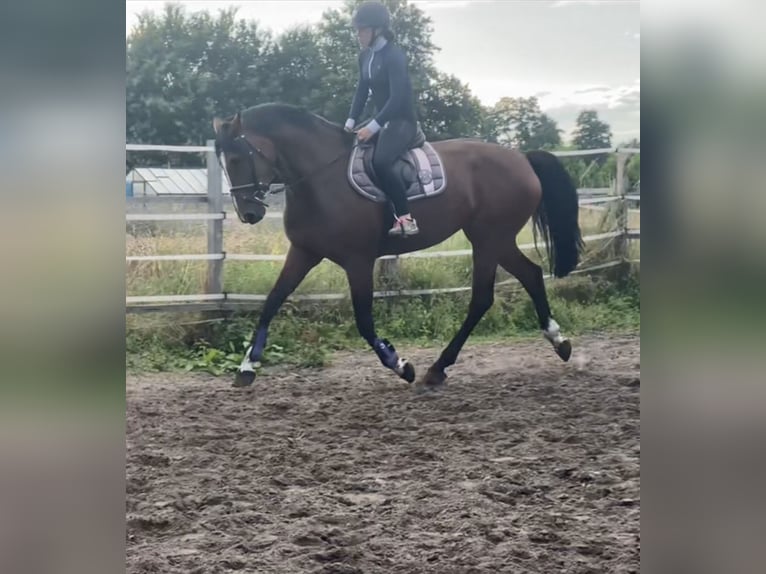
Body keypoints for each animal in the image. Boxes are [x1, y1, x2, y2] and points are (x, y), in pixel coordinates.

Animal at [212, 103, 583, 390]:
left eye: (238, 158)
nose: (248, 213)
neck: (320, 177)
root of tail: (522, 158)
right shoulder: (304, 253)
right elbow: (272, 301)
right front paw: (247, 367)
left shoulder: (358, 260)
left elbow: (363, 319)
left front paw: (400, 364)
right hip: (496, 239)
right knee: (530, 275)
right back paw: (559, 342)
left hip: (488, 239)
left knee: (482, 297)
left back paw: (437, 368)